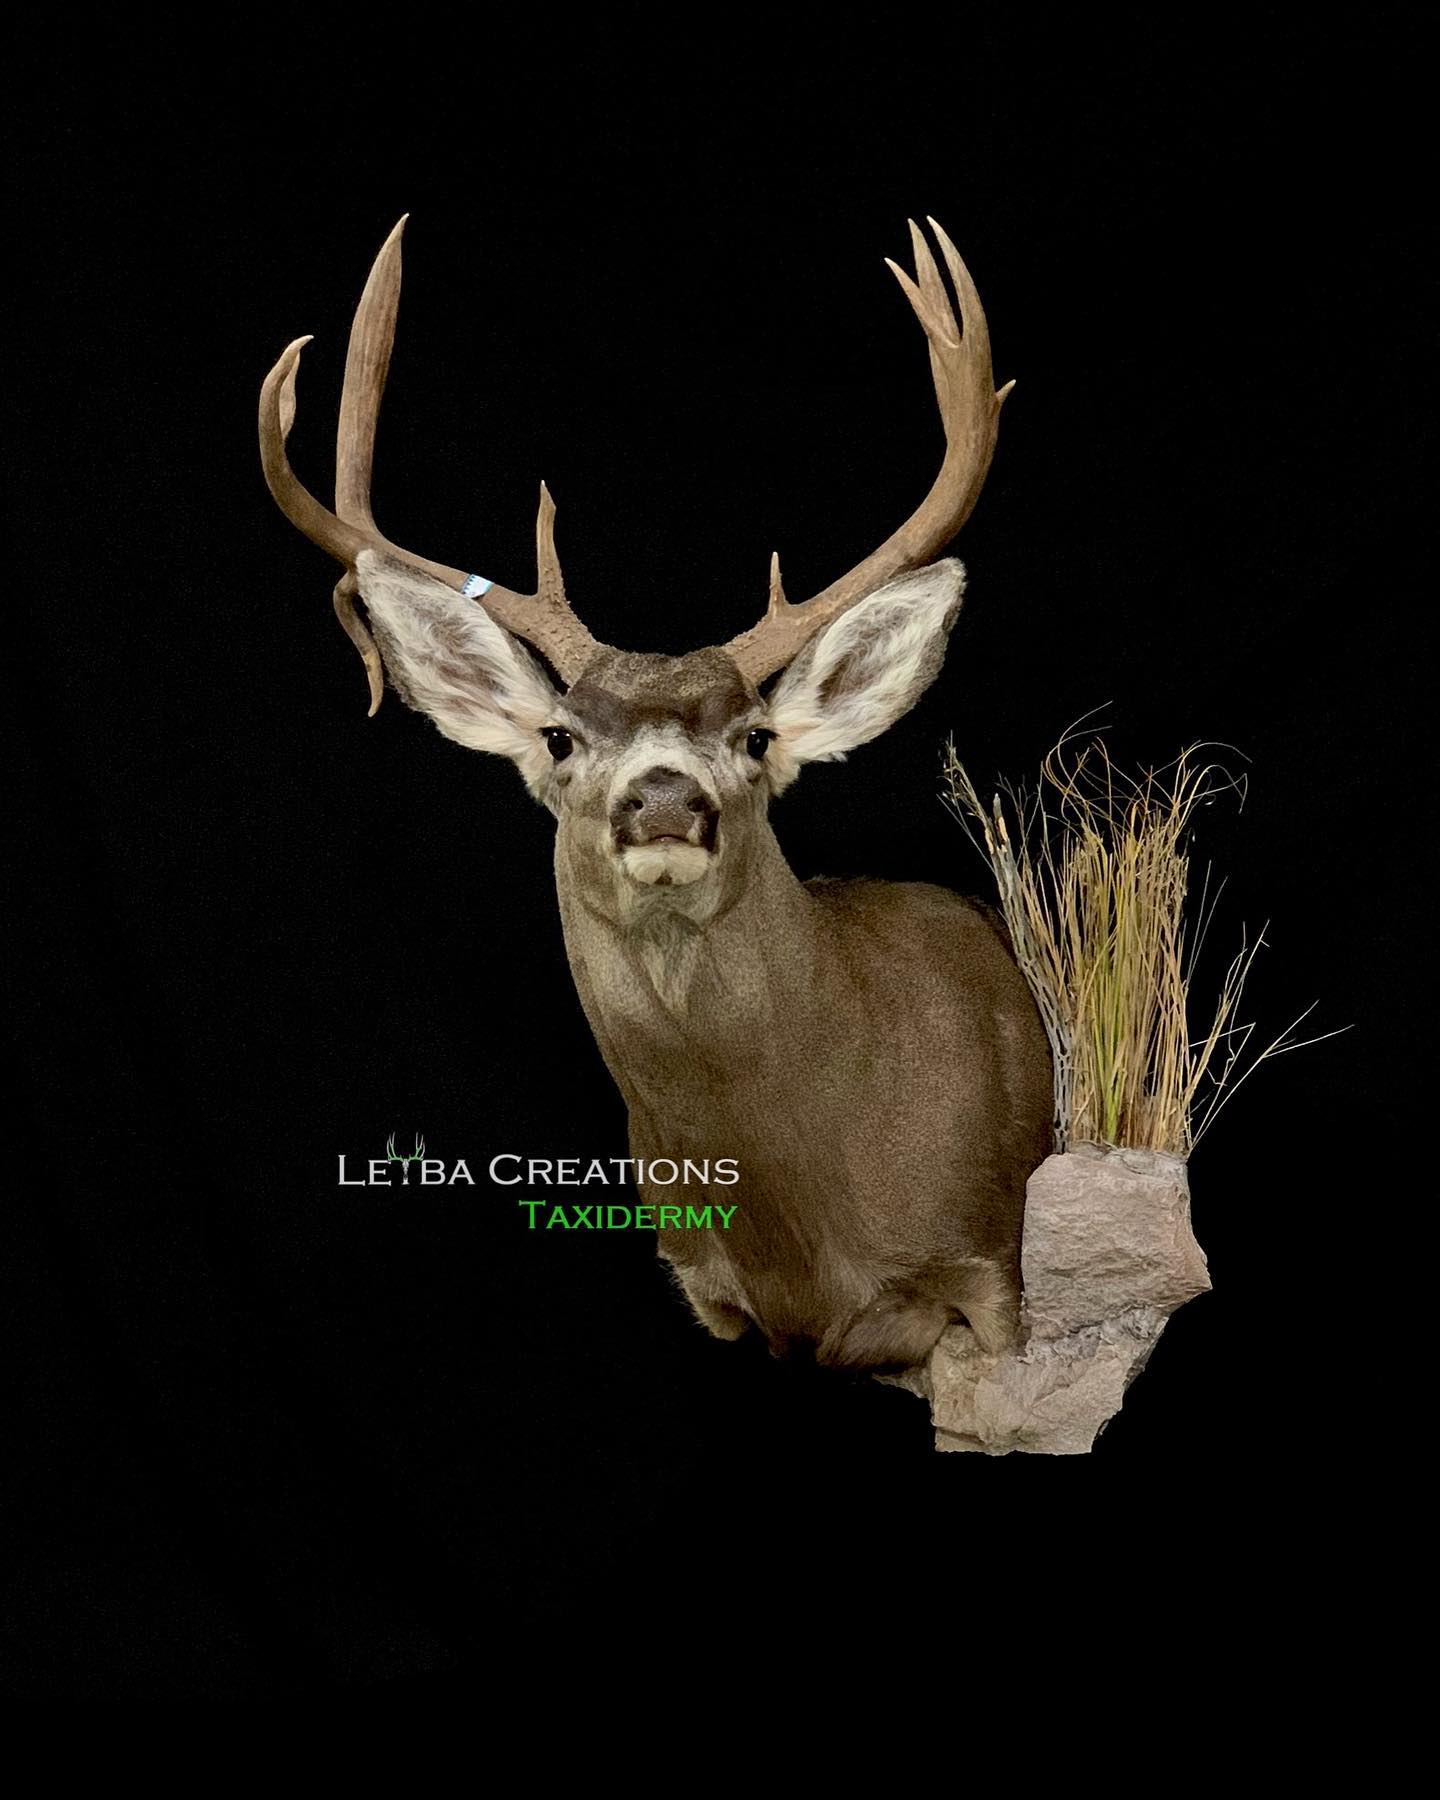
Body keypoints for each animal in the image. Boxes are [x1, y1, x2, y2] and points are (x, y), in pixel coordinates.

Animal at [258, 215, 1053, 1372]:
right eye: (560, 736)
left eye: (756, 736)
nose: (667, 798)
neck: (801, 1224)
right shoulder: (704, 1291)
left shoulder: (992, 1261)